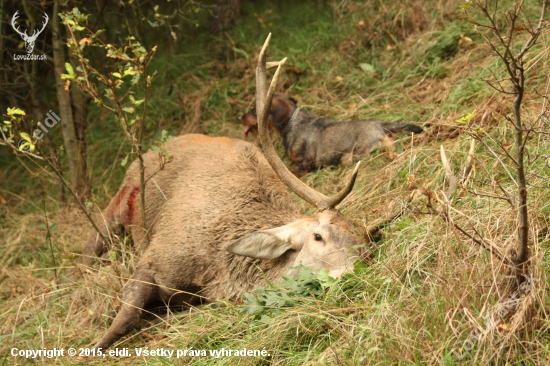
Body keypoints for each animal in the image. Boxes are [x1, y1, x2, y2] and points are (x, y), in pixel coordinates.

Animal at [87, 33, 366, 348]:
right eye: (318, 236)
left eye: (364, 240)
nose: (357, 270)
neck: (219, 270)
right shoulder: (157, 255)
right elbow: (126, 319)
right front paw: (89, 349)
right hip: (119, 200)